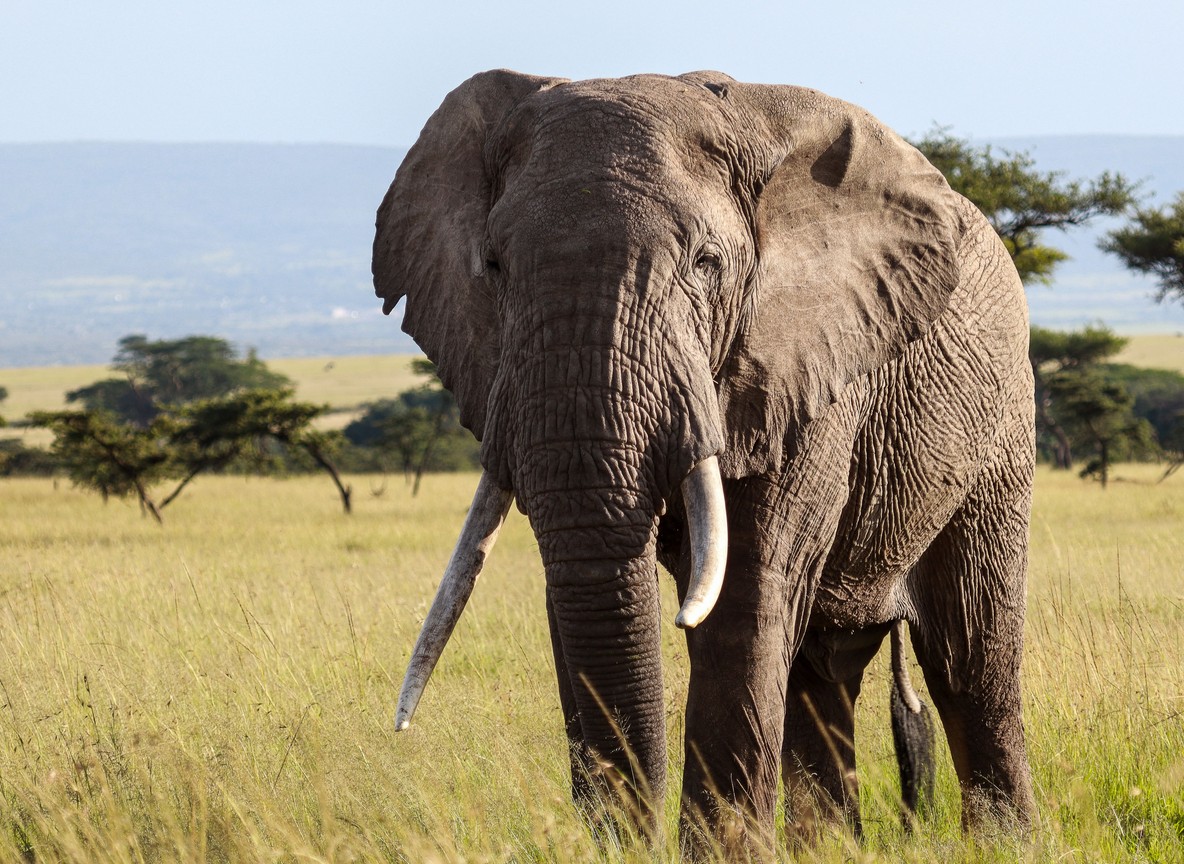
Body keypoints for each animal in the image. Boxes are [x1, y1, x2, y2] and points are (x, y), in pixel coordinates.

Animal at [373, 70, 1036, 857]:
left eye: (706, 265)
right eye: (495, 268)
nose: (630, 840)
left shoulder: (804, 368)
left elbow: (742, 600)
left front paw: (721, 856)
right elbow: (574, 587)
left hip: (999, 426)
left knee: (969, 656)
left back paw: (1005, 843)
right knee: (825, 668)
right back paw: (828, 847)